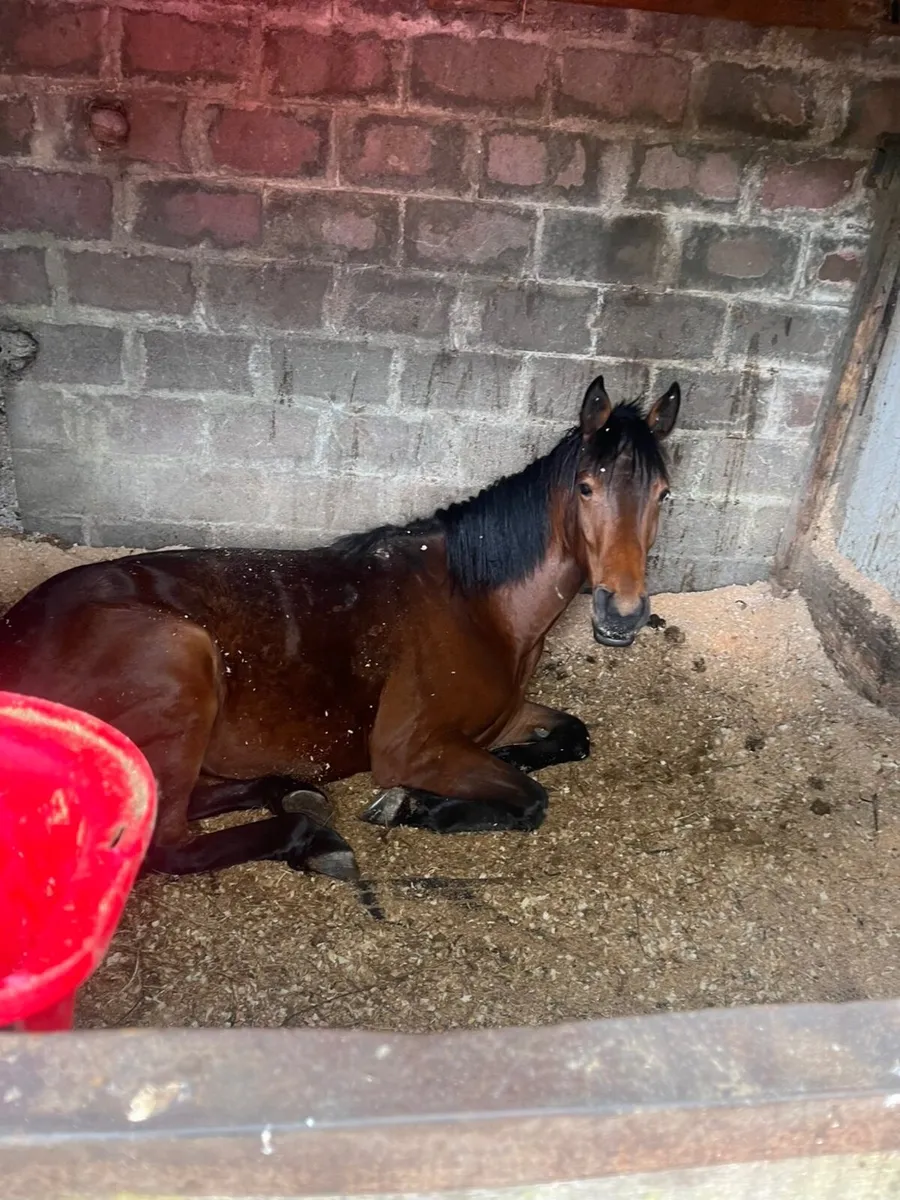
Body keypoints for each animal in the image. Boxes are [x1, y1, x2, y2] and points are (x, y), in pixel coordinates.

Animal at [0, 375, 679, 886]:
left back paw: (289, 792)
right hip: (181, 659)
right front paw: (415, 804)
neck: (476, 605)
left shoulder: (501, 716)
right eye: (586, 487)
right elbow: (530, 800)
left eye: (664, 494)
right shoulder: (412, 748)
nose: (621, 613)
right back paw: (311, 836)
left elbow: (572, 736)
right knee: (166, 839)